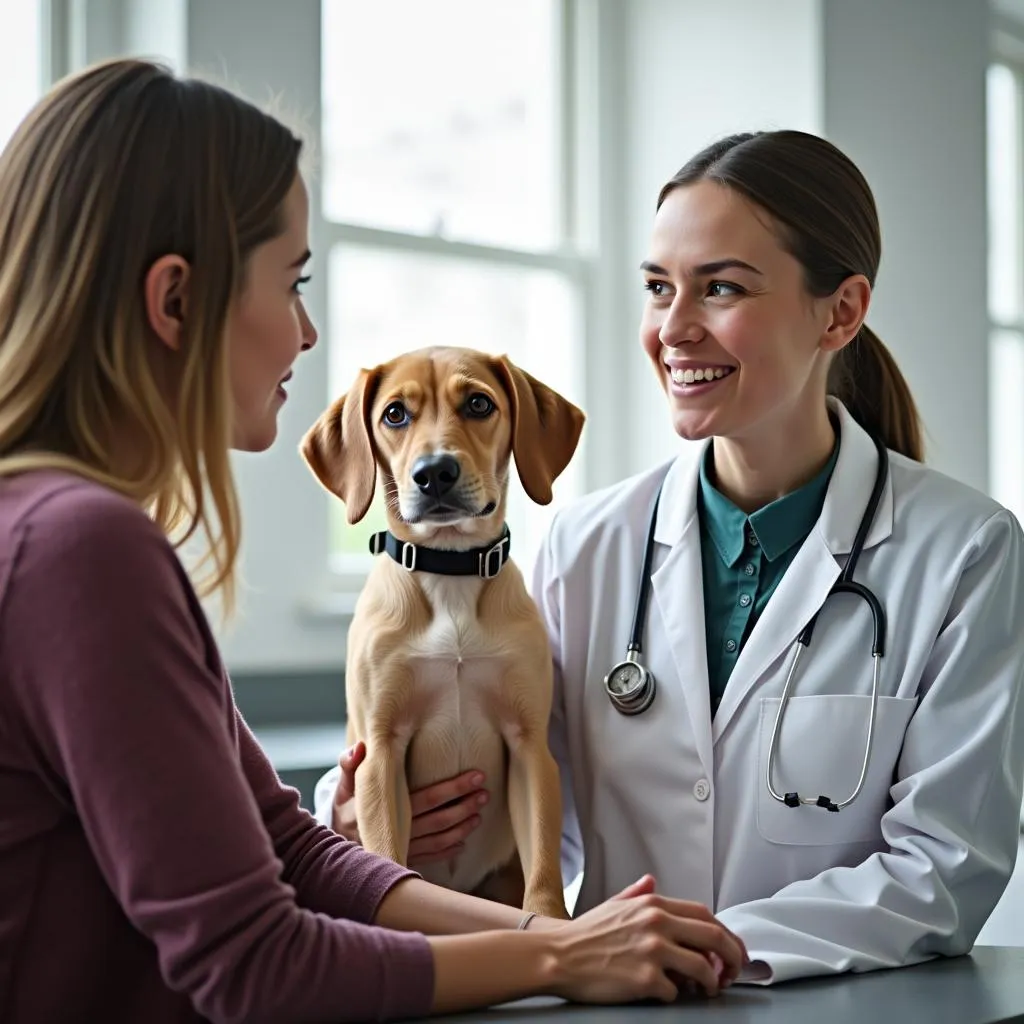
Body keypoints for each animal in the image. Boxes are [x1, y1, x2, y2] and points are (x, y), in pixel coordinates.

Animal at [299, 348, 585, 917]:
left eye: (478, 403)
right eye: (394, 414)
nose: (434, 473)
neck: (451, 571)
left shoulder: (530, 747)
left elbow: (544, 867)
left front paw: (551, 921)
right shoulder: (380, 752)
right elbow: (389, 860)